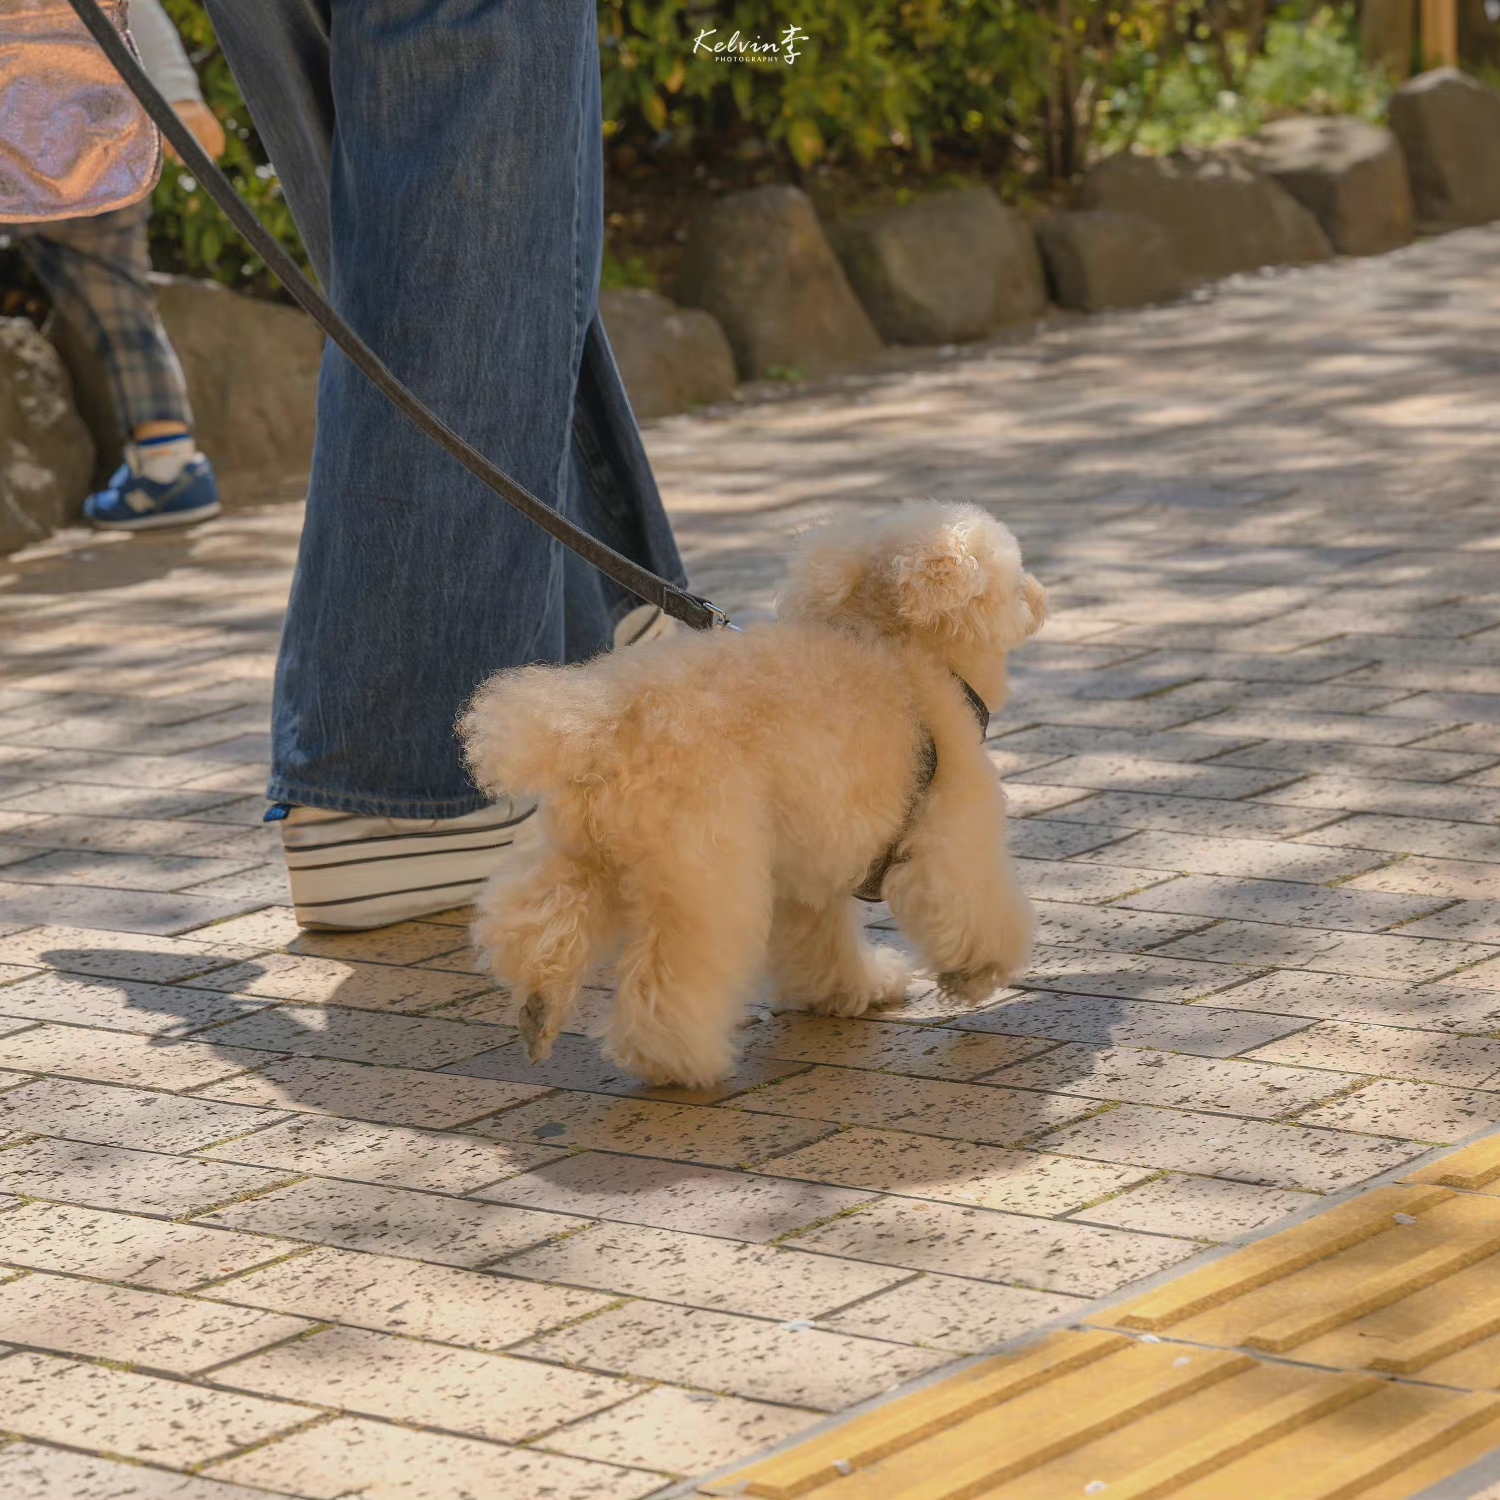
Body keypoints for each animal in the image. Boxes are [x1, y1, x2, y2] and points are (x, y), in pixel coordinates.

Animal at [462, 498, 1050, 1086]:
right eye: (1015, 580)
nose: (1042, 598)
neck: (906, 655)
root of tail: (602, 724)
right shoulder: (950, 830)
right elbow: (972, 906)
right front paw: (977, 973)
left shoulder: (812, 859)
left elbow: (819, 939)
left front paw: (848, 991)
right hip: (704, 868)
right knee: (672, 976)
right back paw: (677, 1060)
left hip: (592, 851)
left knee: (539, 914)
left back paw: (539, 1006)